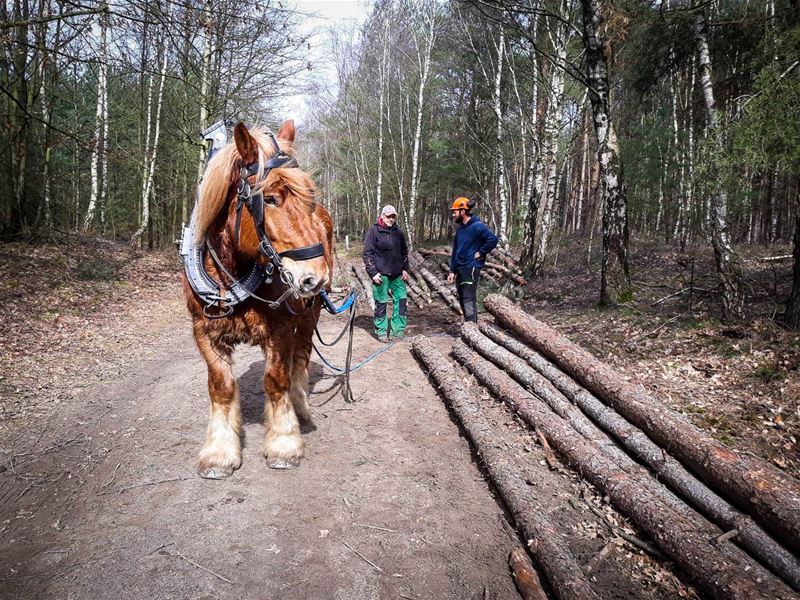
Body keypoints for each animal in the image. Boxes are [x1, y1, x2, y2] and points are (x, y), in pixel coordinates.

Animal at [183, 120, 332, 478]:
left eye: (309, 197)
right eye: (271, 199)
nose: (315, 276)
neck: (232, 277)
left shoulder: (280, 327)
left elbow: (276, 380)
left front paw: (283, 441)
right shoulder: (203, 332)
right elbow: (221, 387)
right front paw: (220, 451)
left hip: (310, 314)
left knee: (300, 357)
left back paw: (300, 406)